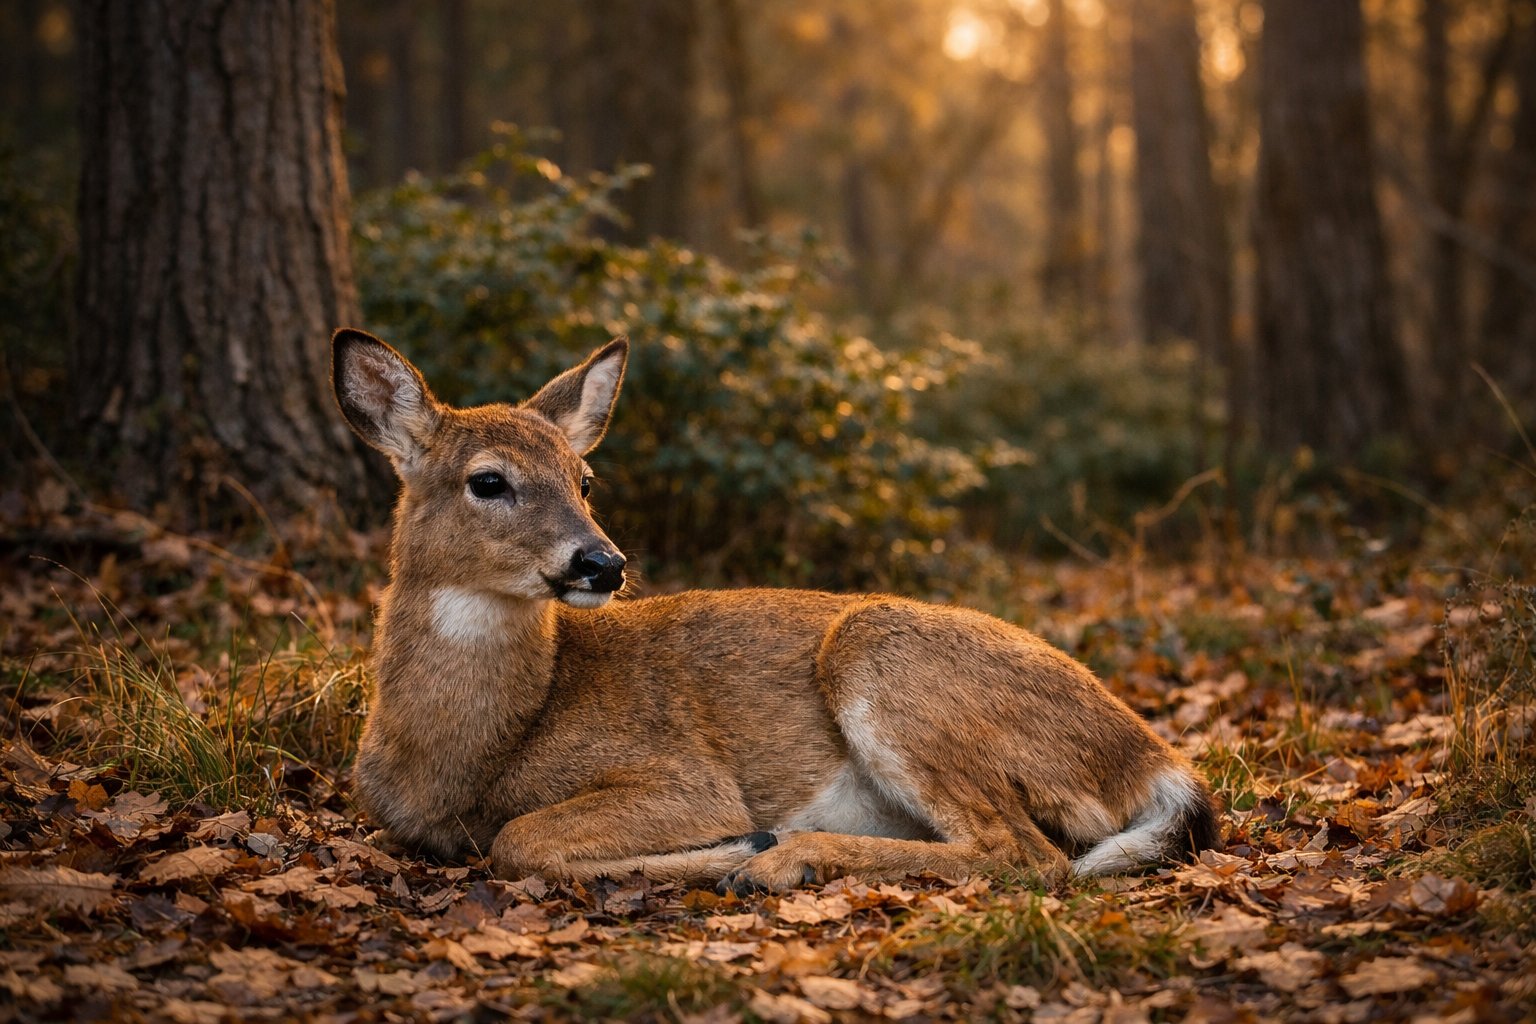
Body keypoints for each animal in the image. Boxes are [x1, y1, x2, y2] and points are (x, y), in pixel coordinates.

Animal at [331, 328, 1219, 893]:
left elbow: (519, 839)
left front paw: (734, 848)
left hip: (882, 650)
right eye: (488, 481)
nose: (603, 563)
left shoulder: (684, 776)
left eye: (584, 481)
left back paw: (783, 858)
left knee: (1030, 855)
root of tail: (1155, 759)